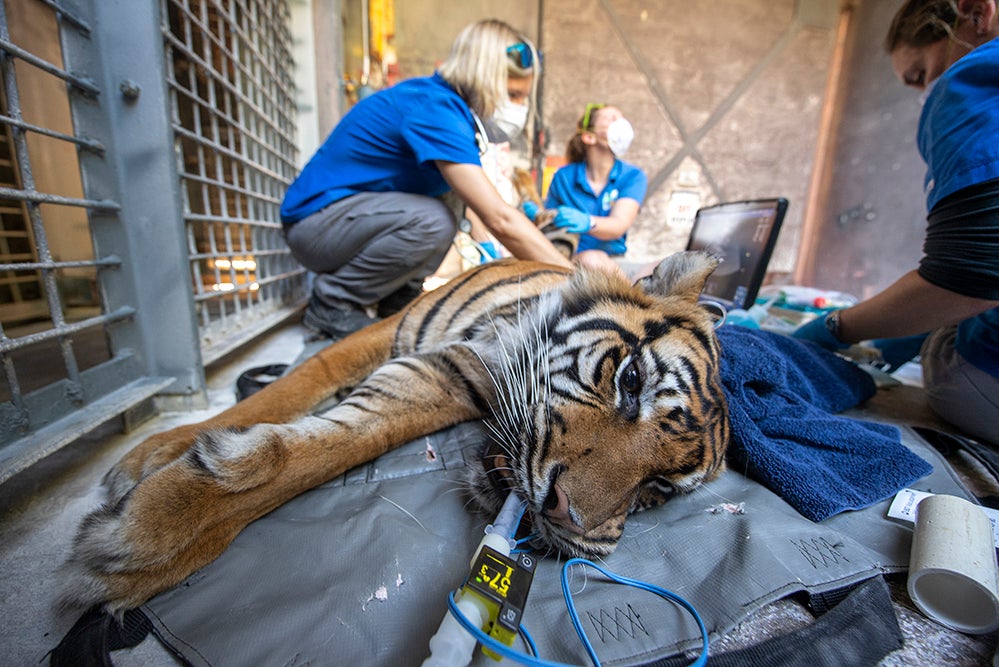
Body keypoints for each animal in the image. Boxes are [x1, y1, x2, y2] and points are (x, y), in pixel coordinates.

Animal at [62, 251, 731, 614]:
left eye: (659, 490)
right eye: (631, 381)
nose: (566, 515)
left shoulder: (436, 382)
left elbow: (332, 447)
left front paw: (149, 541)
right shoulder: (400, 338)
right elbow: (301, 382)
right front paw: (154, 493)